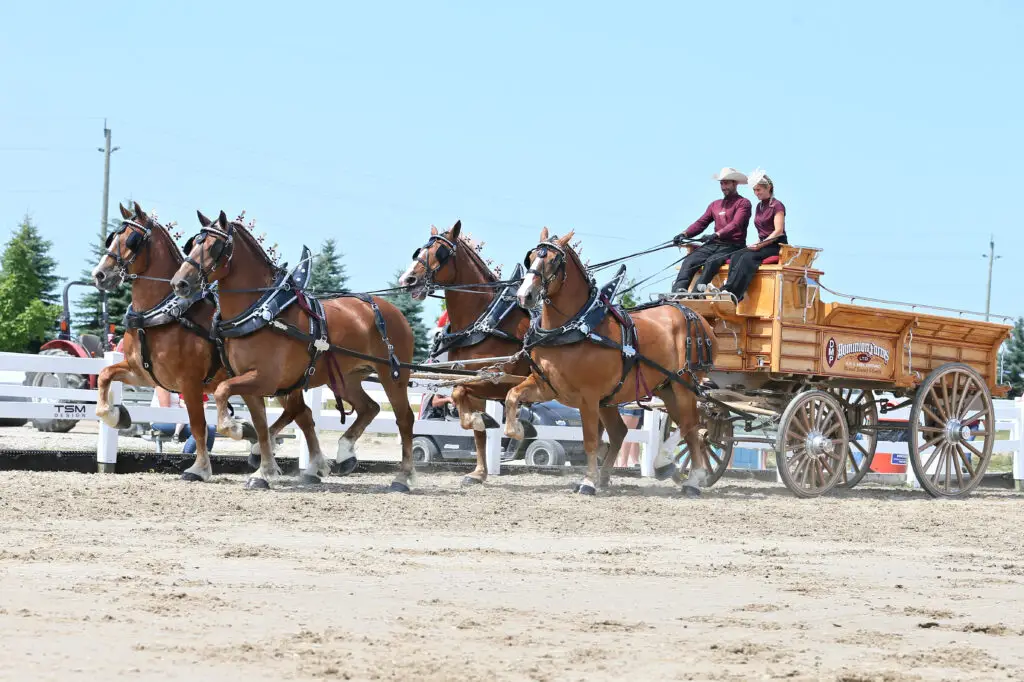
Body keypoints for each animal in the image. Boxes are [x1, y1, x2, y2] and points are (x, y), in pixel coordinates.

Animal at [91, 202, 317, 482]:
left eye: (132, 240)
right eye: (112, 238)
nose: (100, 275)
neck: (164, 314)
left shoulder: (189, 383)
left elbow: (198, 426)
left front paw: (199, 468)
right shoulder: (142, 374)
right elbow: (104, 375)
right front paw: (115, 415)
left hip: (278, 381)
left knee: (298, 414)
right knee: (302, 415)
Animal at [168, 210, 418, 491]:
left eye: (214, 246)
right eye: (192, 244)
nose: (179, 283)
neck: (261, 311)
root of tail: (392, 310)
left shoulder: (264, 379)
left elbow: (224, 392)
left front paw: (237, 429)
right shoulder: (251, 383)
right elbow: (262, 425)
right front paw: (263, 472)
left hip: (393, 376)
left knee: (404, 419)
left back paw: (402, 477)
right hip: (346, 378)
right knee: (369, 408)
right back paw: (344, 454)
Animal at [398, 220, 533, 484]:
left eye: (440, 252)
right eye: (420, 250)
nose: (407, 279)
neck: (485, 320)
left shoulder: (499, 379)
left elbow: (458, 392)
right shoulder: (471, 380)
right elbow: (470, 418)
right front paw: (479, 472)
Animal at [505, 227, 715, 496]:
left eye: (553, 260)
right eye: (530, 258)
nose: (525, 296)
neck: (573, 327)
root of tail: (695, 314)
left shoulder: (589, 396)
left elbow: (590, 440)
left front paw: (587, 481)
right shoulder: (547, 387)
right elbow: (512, 395)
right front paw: (516, 430)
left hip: (684, 385)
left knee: (691, 425)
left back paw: (688, 477)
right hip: (664, 388)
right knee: (660, 429)